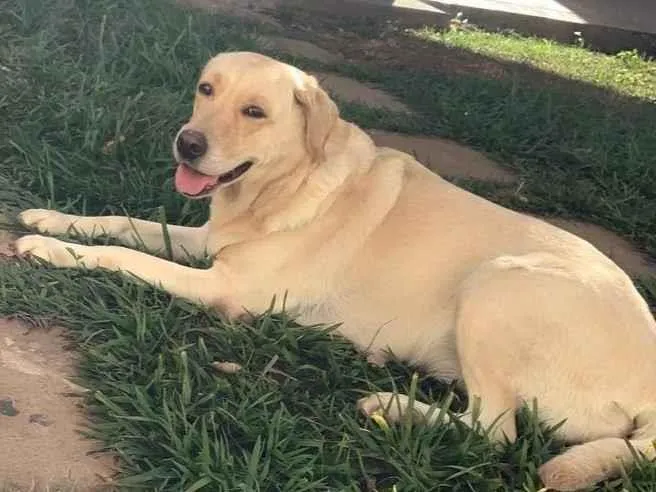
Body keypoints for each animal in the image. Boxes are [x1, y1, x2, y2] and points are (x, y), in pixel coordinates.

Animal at [15, 52, 656, 490]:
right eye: (206, 89)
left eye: (255, 112)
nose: (187, 143)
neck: (283, 185)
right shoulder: (205, 246)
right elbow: (122, 223)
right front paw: (54, 218)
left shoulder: (225, 286)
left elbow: (125, 256)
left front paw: (49, 248)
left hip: (500, 283)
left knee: (496, 429)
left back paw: (393, 407)